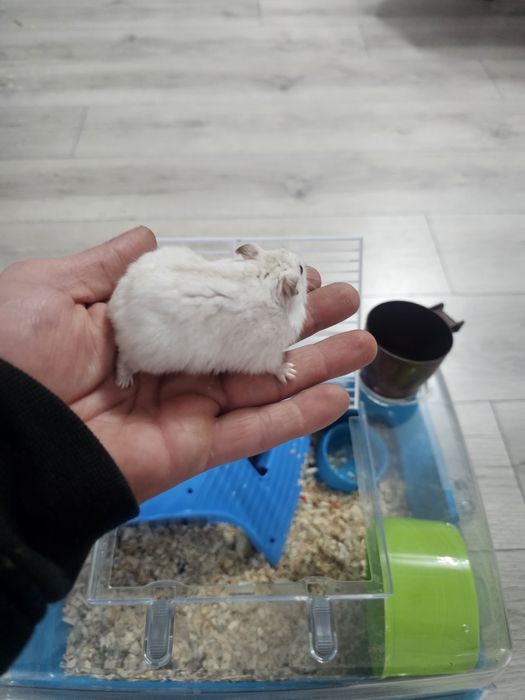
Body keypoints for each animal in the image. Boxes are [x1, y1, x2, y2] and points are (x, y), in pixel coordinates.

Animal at [107, 242, 308, 388]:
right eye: (301, 269)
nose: (305, 264)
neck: (264, 276)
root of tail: (114, 307)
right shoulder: (264, 353)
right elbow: (274, 366)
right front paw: (291, 372)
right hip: (148, 357)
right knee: (122, 360)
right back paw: (123, 383)